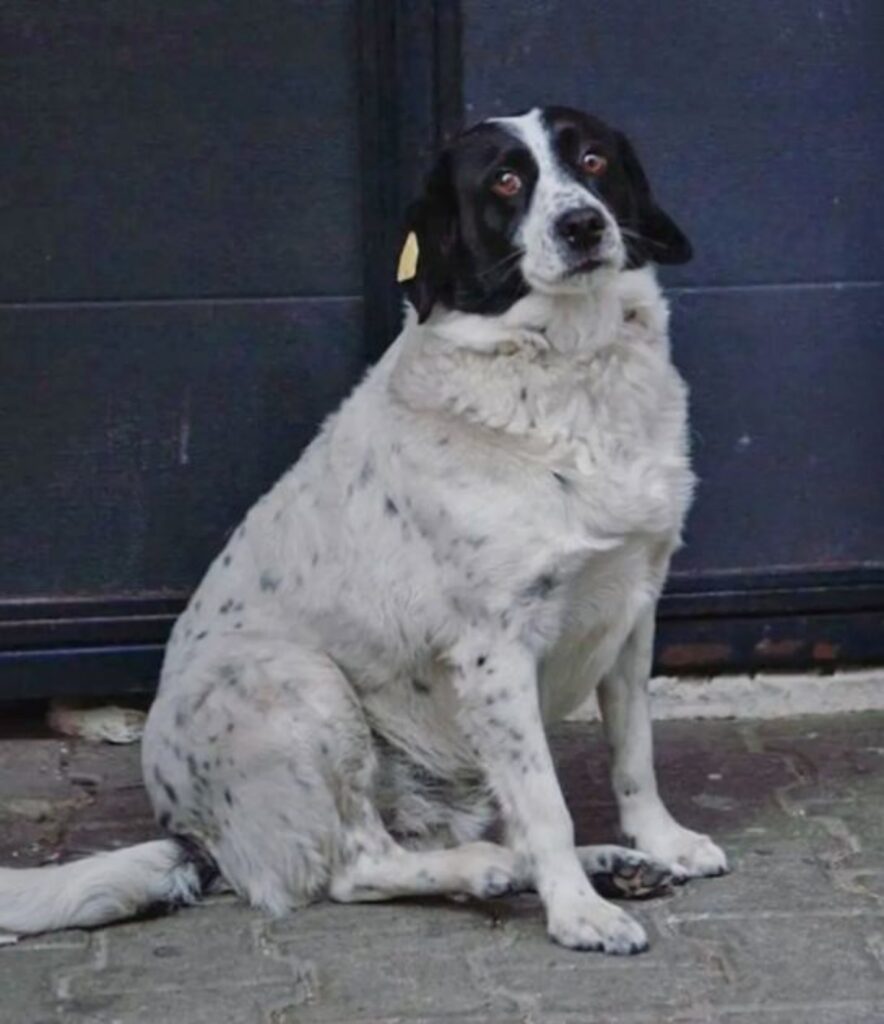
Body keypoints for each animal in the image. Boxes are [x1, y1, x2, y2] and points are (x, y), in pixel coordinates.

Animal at [3, 103, 729, 950]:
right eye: (505, 181)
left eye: (593, 161)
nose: (582, 224)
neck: (570, 368)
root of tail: (189, 830)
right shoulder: (495, 649)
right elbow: (545, 802)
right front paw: (577, 912)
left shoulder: (632, 609)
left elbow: (634, 753)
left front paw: (659, 841)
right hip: (298, 684)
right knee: (356, 866)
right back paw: (493, 871)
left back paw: (609, 862)